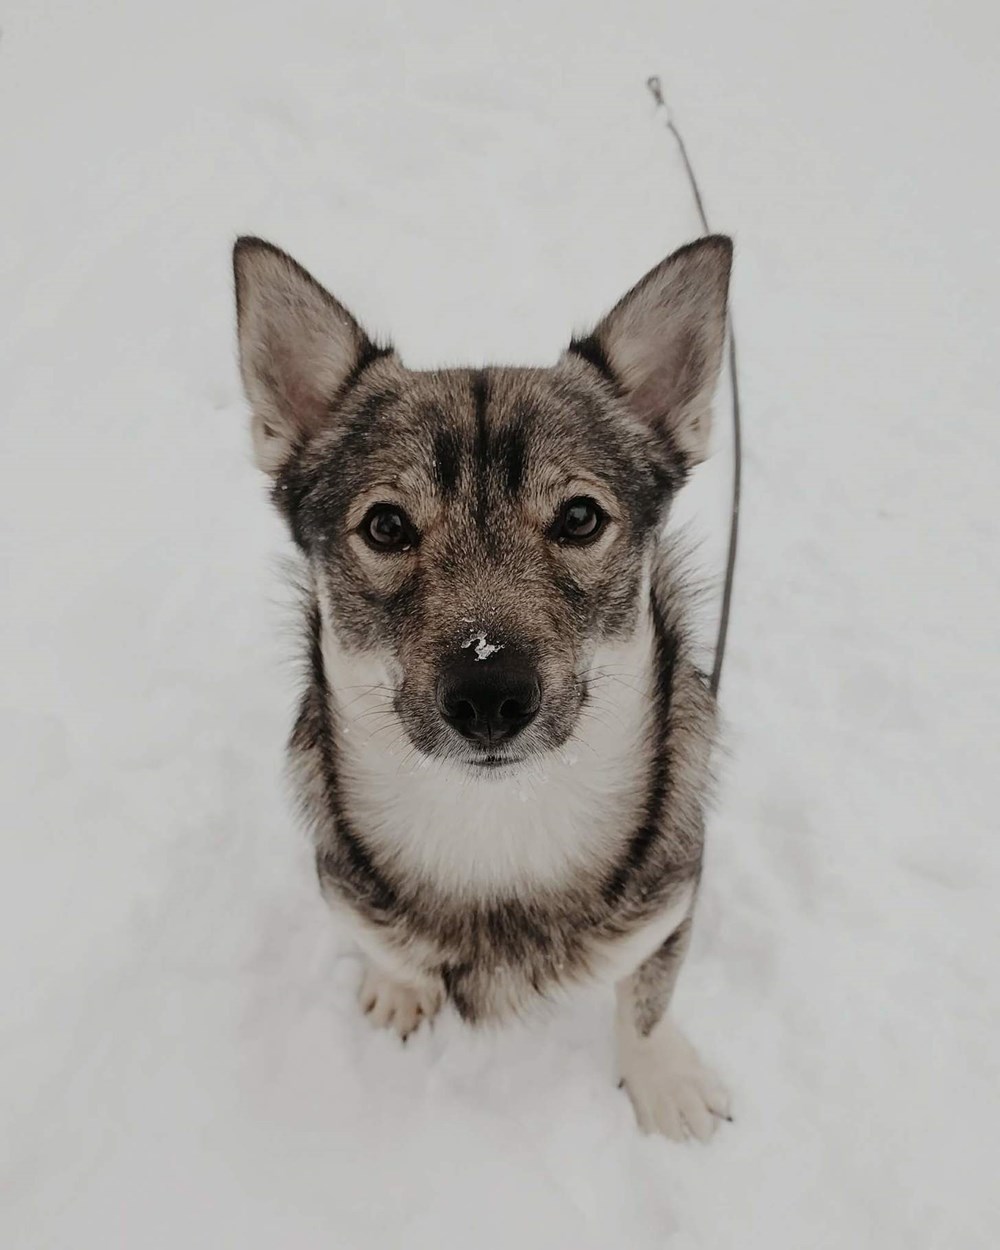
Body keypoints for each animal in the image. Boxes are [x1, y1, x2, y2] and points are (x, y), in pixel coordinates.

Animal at [235, 230, 735, 1140]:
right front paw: (398, 987)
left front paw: (661, 1079)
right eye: (385, 526)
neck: (497, 832)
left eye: (580, 517)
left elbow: (646, 995)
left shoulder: (673, 890)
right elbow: (382, 942)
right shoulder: (341, 881)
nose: (490, 697)